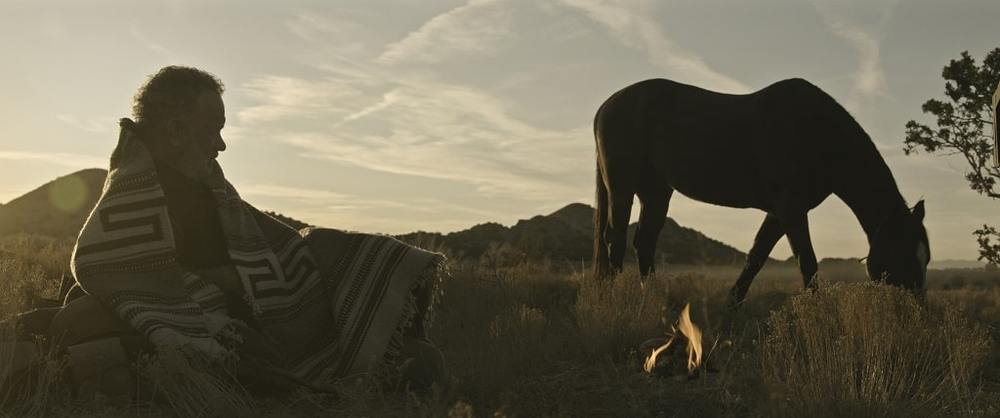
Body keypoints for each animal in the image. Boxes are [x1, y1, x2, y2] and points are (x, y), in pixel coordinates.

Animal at [592, 77, 928, 304]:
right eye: (905, 254)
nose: (919, 311)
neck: (818, 133)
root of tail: (606, 106)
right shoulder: (791, 210)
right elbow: (807, 263)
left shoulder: (780, 213)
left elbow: (755, 258)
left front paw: (732, 305)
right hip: (622, 187)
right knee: (615, 239)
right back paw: (615, 300)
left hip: (656, 192)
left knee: (644, 242)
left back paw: (653, 299)